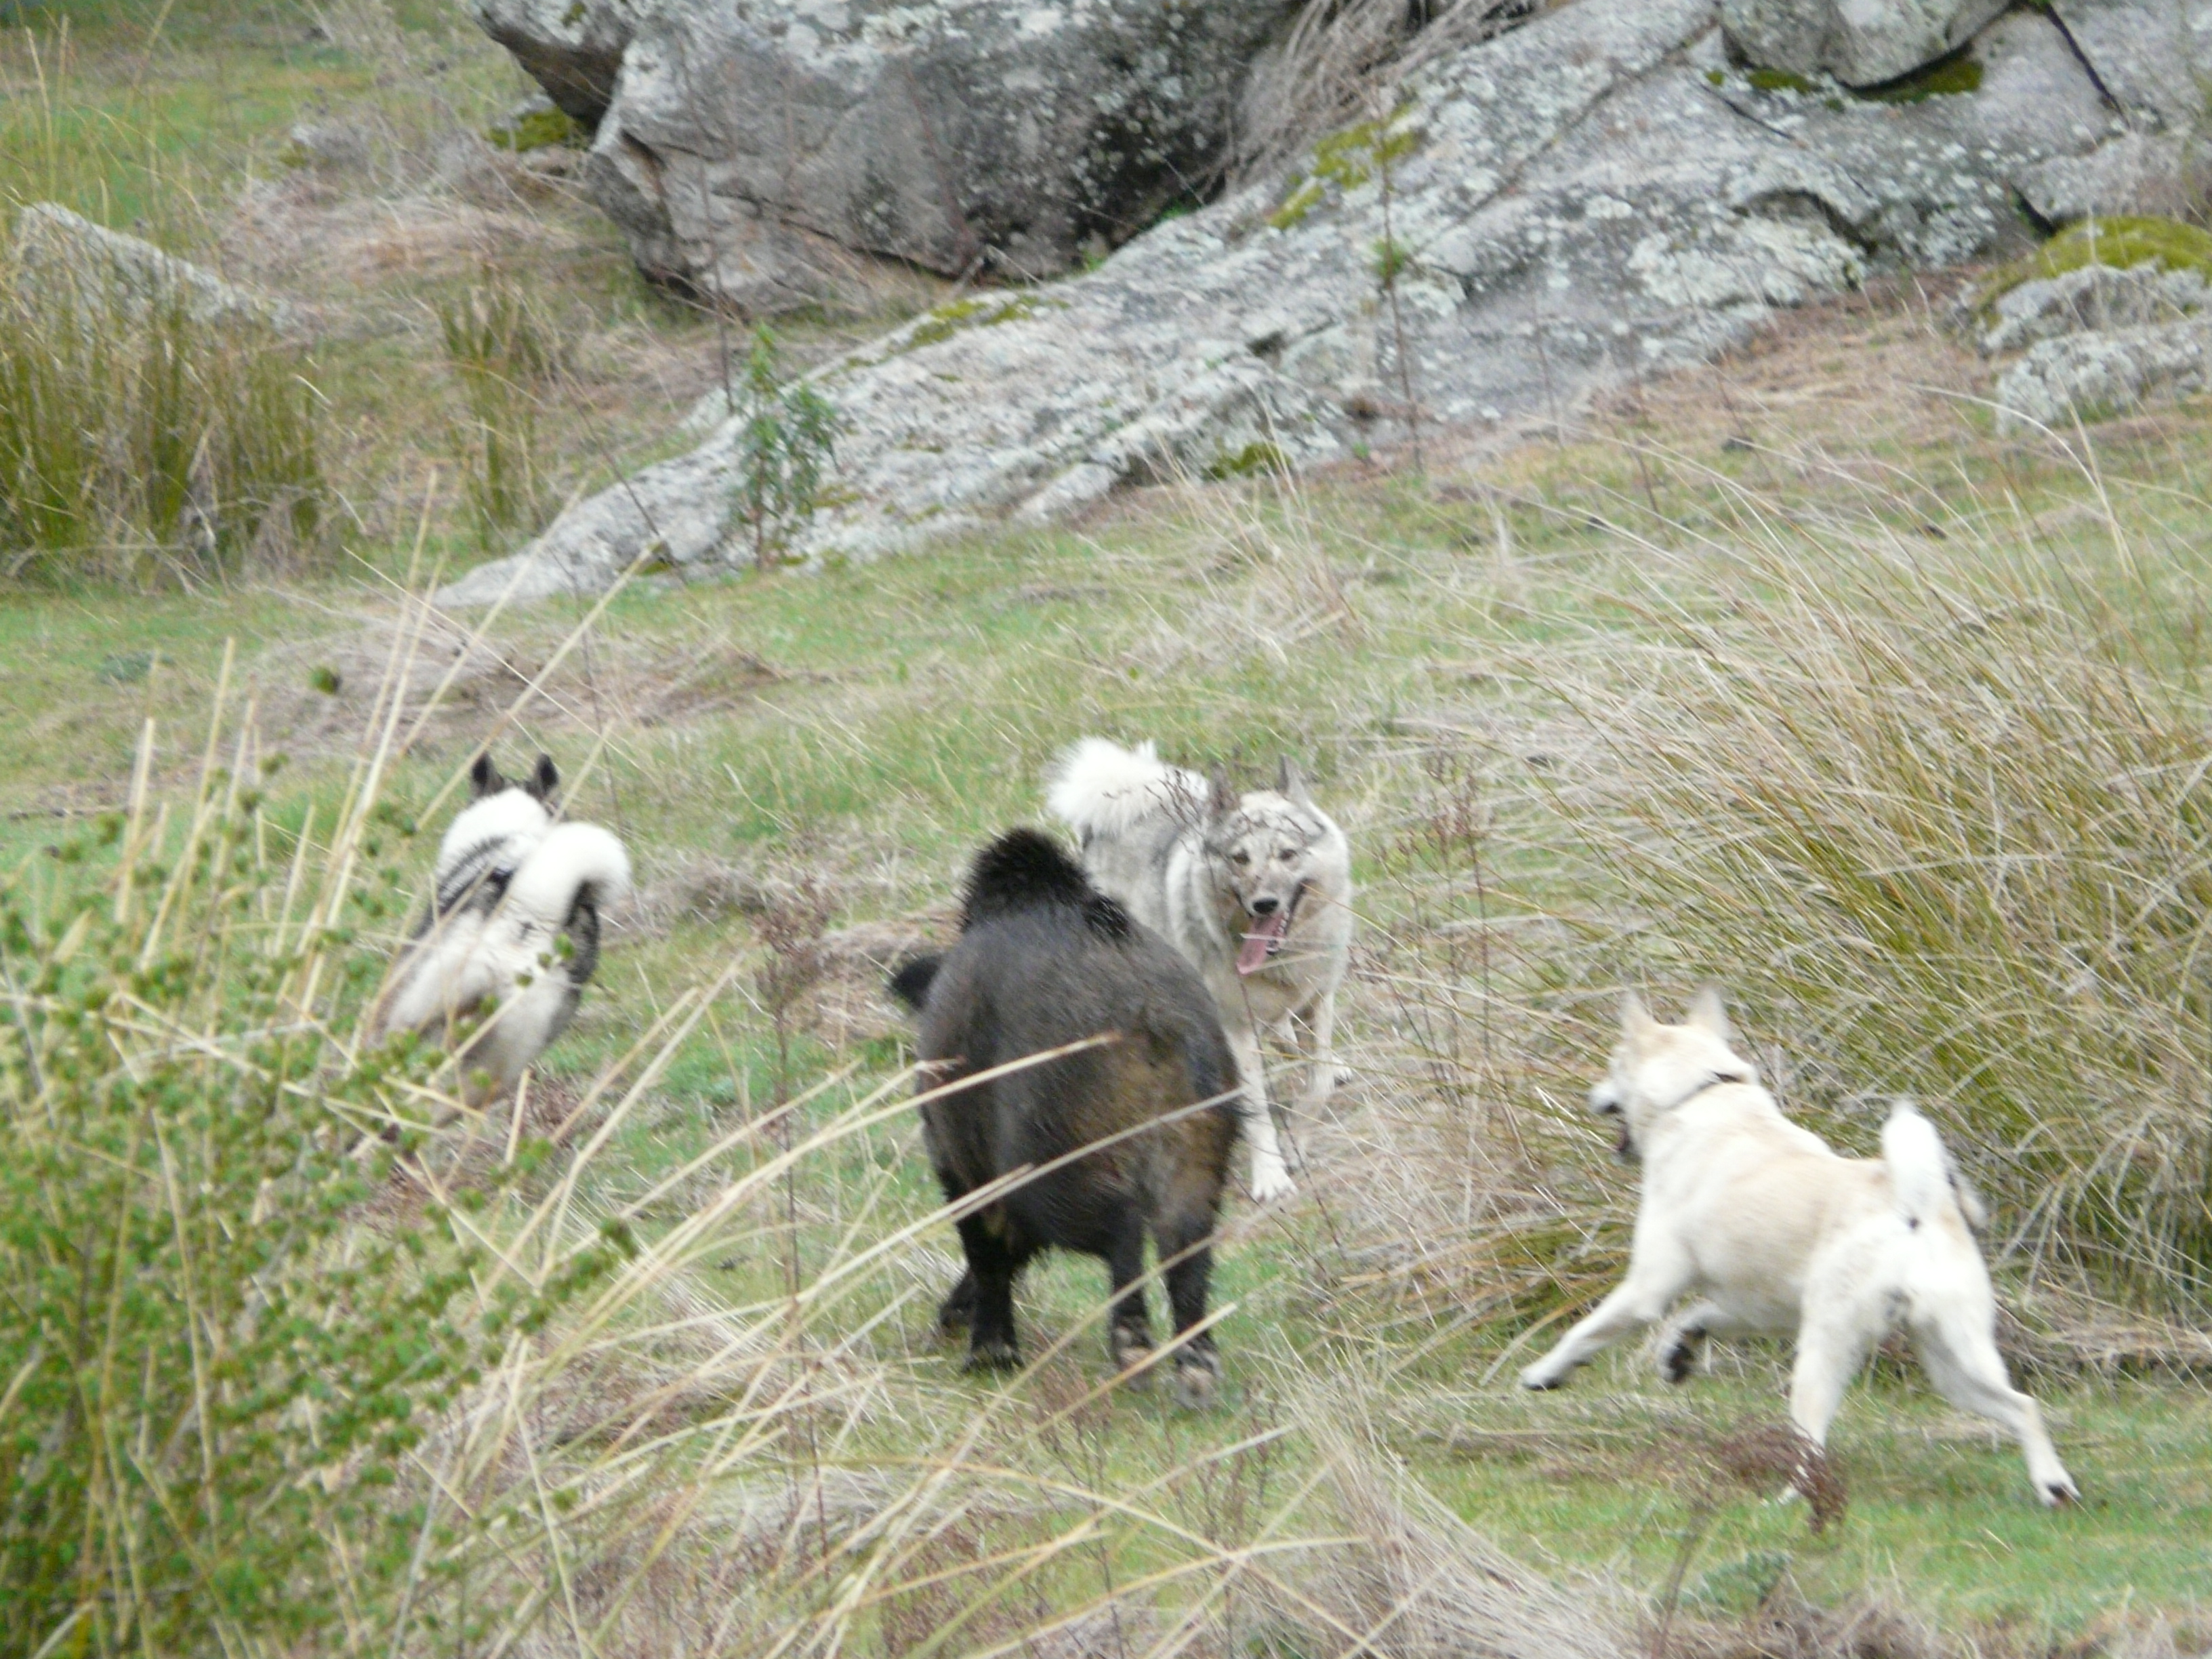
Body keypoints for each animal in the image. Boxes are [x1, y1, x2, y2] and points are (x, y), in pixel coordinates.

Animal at [1048, 739, 1345, 1212]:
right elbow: (1259, 1111)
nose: (1264, 904)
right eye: (1240, 859)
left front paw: (1300, 1138)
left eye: (1287, 854)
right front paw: (1271, 1176)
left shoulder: (1321, 996)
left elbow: (1317, 1083)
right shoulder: (1235, 1029)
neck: (1279, 962)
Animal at [1521, 995, 2070, 1513]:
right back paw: (2053, 1485)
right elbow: (1697, 1315)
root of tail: (1919, 1209)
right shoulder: (1758, 1309)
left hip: (1825, 1355)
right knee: (2024, 1405)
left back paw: (1789, 1501)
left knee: (1812, 1443)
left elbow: (1584, 1332)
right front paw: (1679, 1350)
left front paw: (1544, 1373)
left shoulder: (1646, 1290)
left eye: (1614, 1065)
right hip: (1955, 1366)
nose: (1591, 1096)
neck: (1702, 1093)